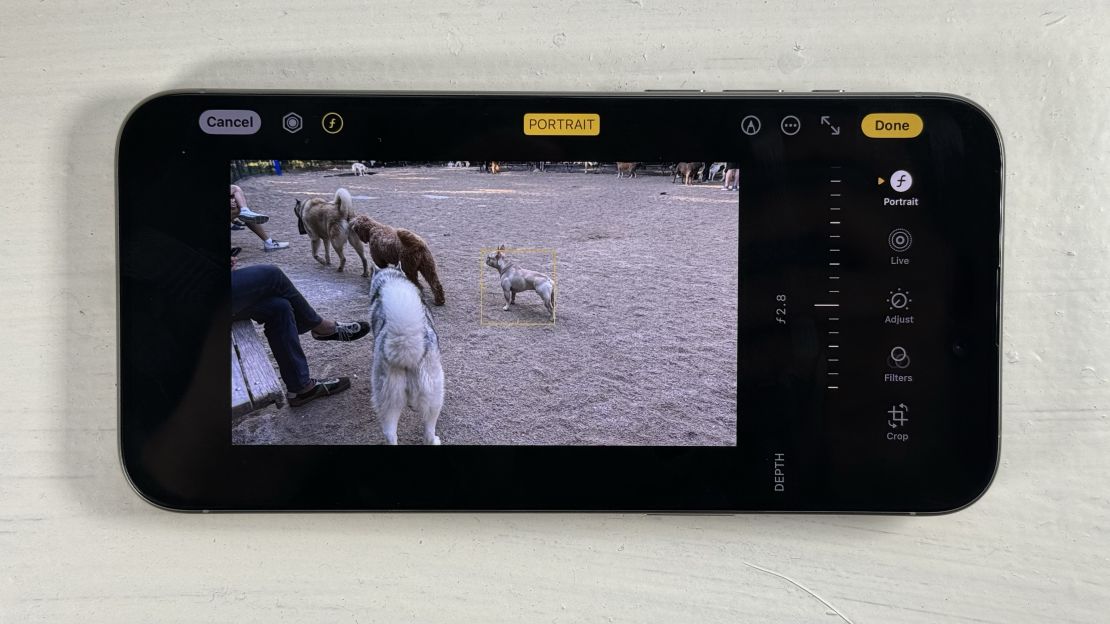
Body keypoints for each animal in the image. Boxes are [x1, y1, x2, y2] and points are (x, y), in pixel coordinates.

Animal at [370, 266, 444, 441]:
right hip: (435, 396)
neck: (390, 279)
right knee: (428, 432)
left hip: (390, 400)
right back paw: (435, 440)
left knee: (390, 434)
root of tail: (405, 348)